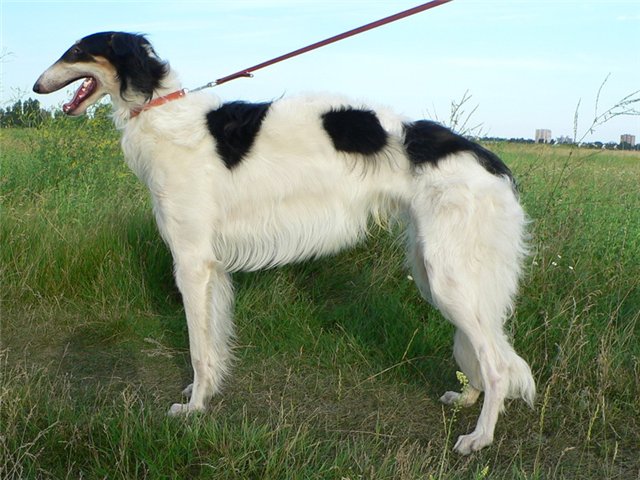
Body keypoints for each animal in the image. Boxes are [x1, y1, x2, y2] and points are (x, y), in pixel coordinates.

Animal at [34, 31, 535, 455]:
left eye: (75, 51)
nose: (37, 86)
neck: (163, 116)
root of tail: (488, 159)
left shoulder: (191, 261)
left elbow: (198, 348)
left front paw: (193, 409)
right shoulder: (212, 267)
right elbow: (213, 345)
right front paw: (204, 393)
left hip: (449, 276)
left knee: (496, 363)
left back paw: (479, 438)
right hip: (436, 272)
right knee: (488, 351)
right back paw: (467, 398)